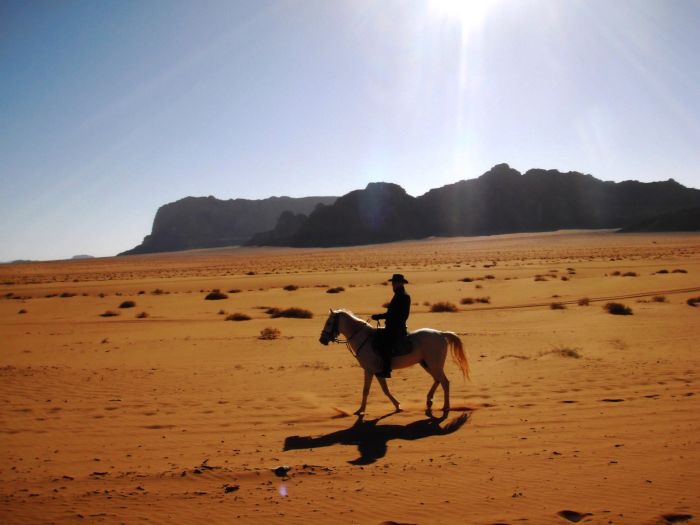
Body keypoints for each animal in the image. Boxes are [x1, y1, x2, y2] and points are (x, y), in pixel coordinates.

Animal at [318, 310, 470, 416]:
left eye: (329, 323)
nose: (322, 340)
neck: (364, 339)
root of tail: (441, 334)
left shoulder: (369, 370)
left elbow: (365, 391)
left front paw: (360, 410)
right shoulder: (378, 372)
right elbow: (385, 390)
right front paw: (397, 406)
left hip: (434, 364)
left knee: (444, 382)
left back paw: (446, 406)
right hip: (426, 364)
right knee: (437, 380)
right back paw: (429, 401)